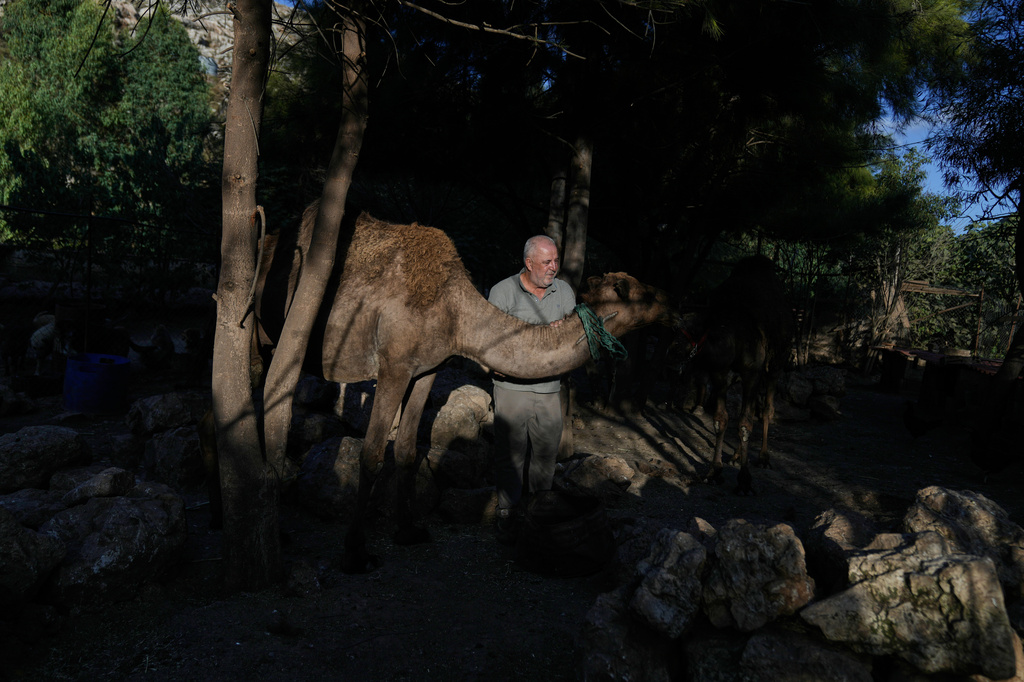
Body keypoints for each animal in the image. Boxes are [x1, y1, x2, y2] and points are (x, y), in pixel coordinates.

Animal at [255, 203, 683, 572]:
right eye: (643, 293)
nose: (674, 304)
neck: (456, 314)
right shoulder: (394, 366)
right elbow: (372, 454)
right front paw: (356, 553)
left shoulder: (427, 369)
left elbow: (407, 449)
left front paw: (408, 531)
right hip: (265, 337)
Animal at [681, 255, 793, 495]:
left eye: (689, 332)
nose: (668, 352)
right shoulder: (720, 373)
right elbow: (721, 418)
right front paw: (714, 471)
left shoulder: (752, 371)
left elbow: (745, 422)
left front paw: (744, 480)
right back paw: (736, 455)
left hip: (775, 365)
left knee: (766, 409)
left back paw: (763, 458)